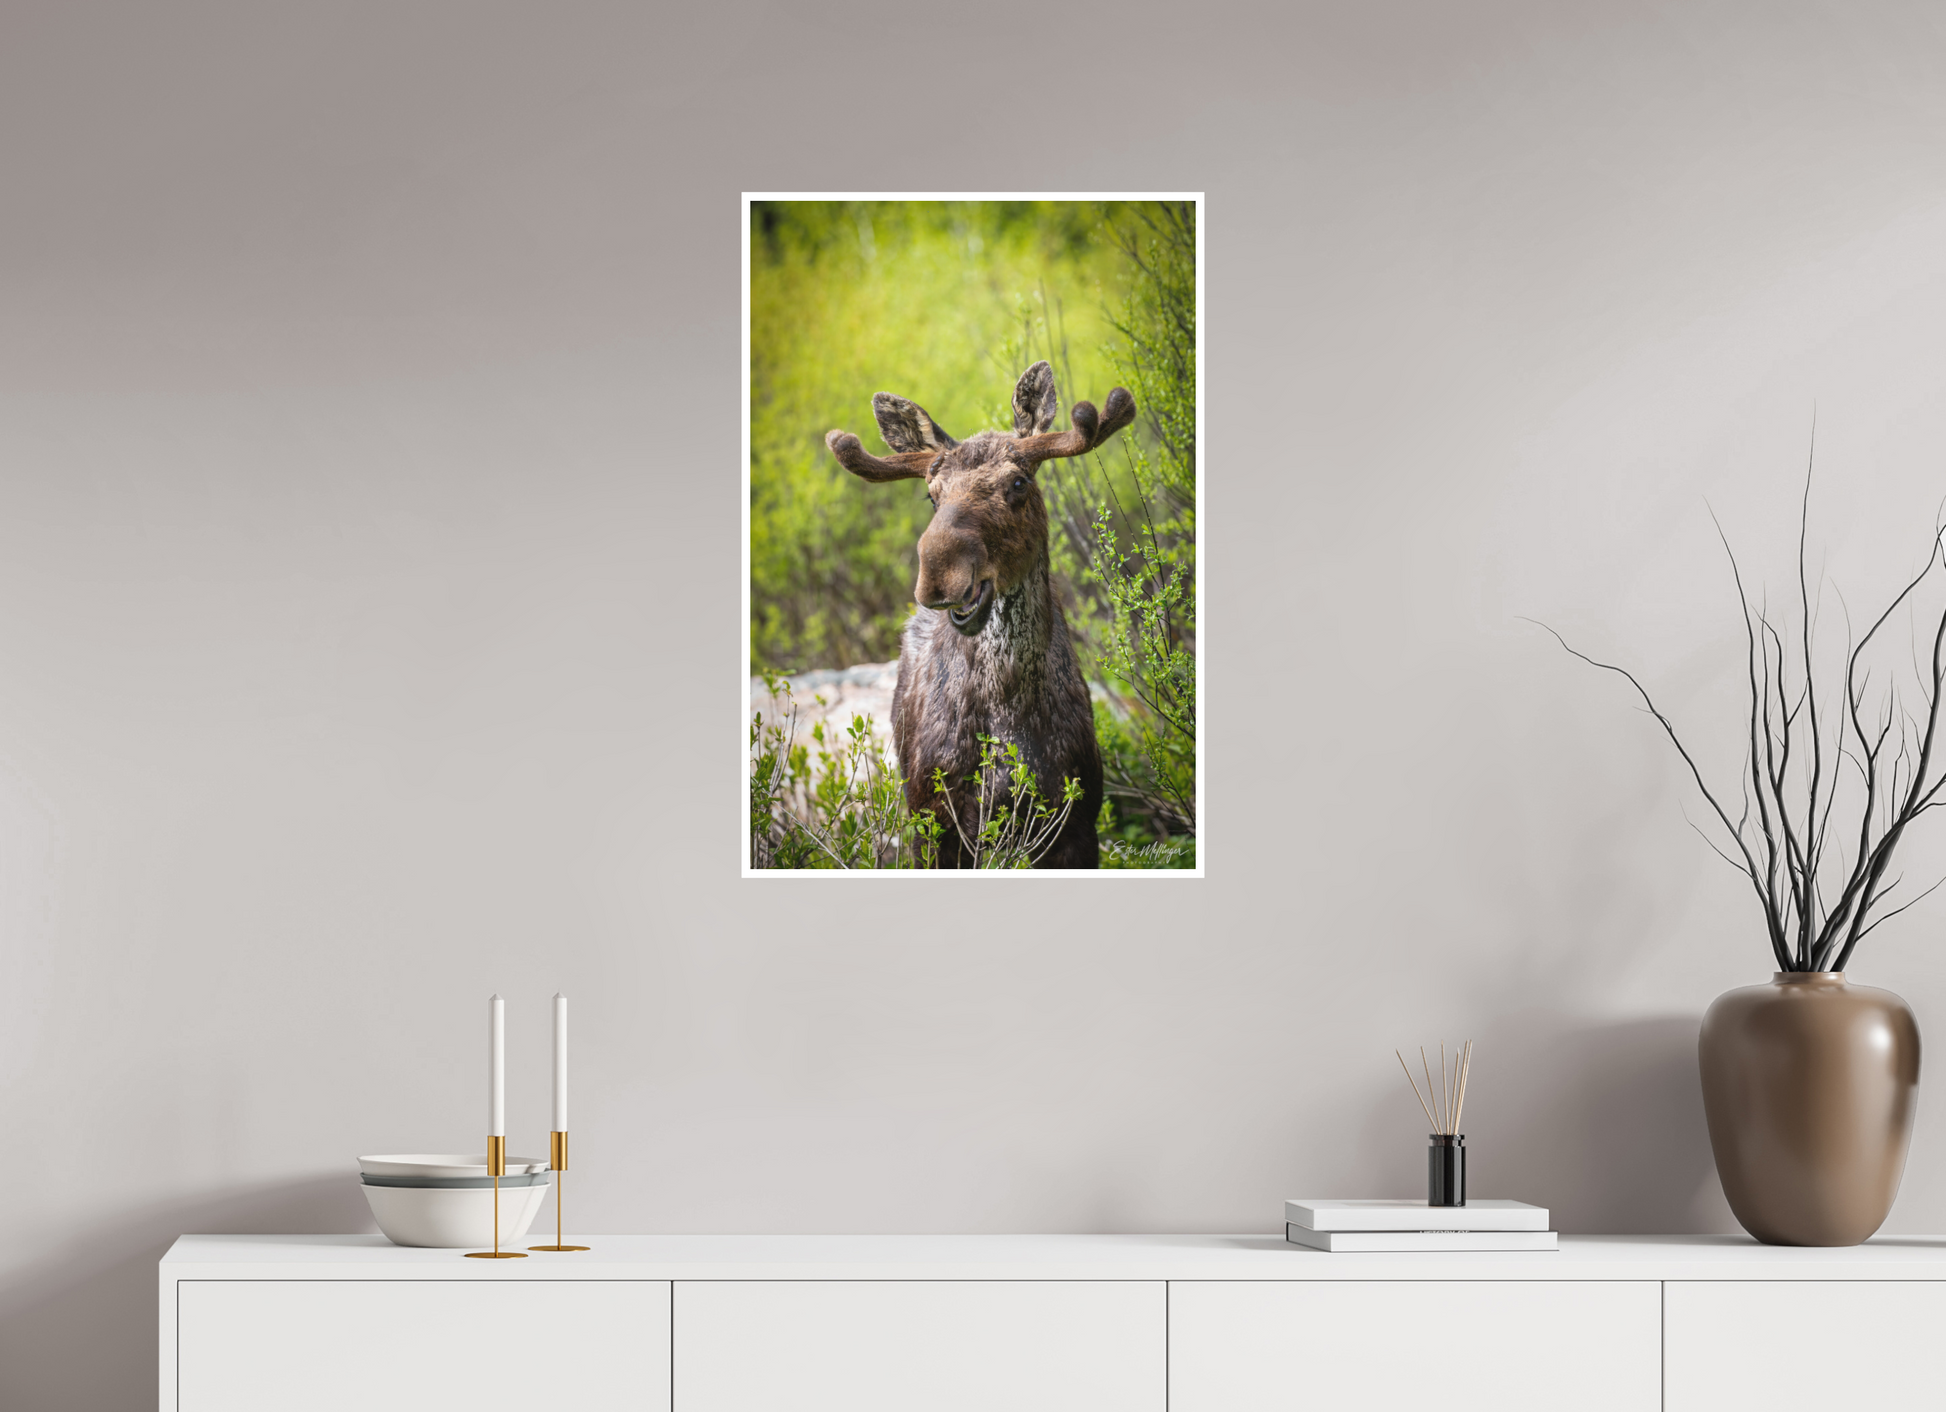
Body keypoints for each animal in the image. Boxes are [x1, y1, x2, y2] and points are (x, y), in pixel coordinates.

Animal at [825, 361, 1135, 868]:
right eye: (931, 495)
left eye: (1018, 483)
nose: (938, 573)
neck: (1008, 707)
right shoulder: (933, 822)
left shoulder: (1076, 823)